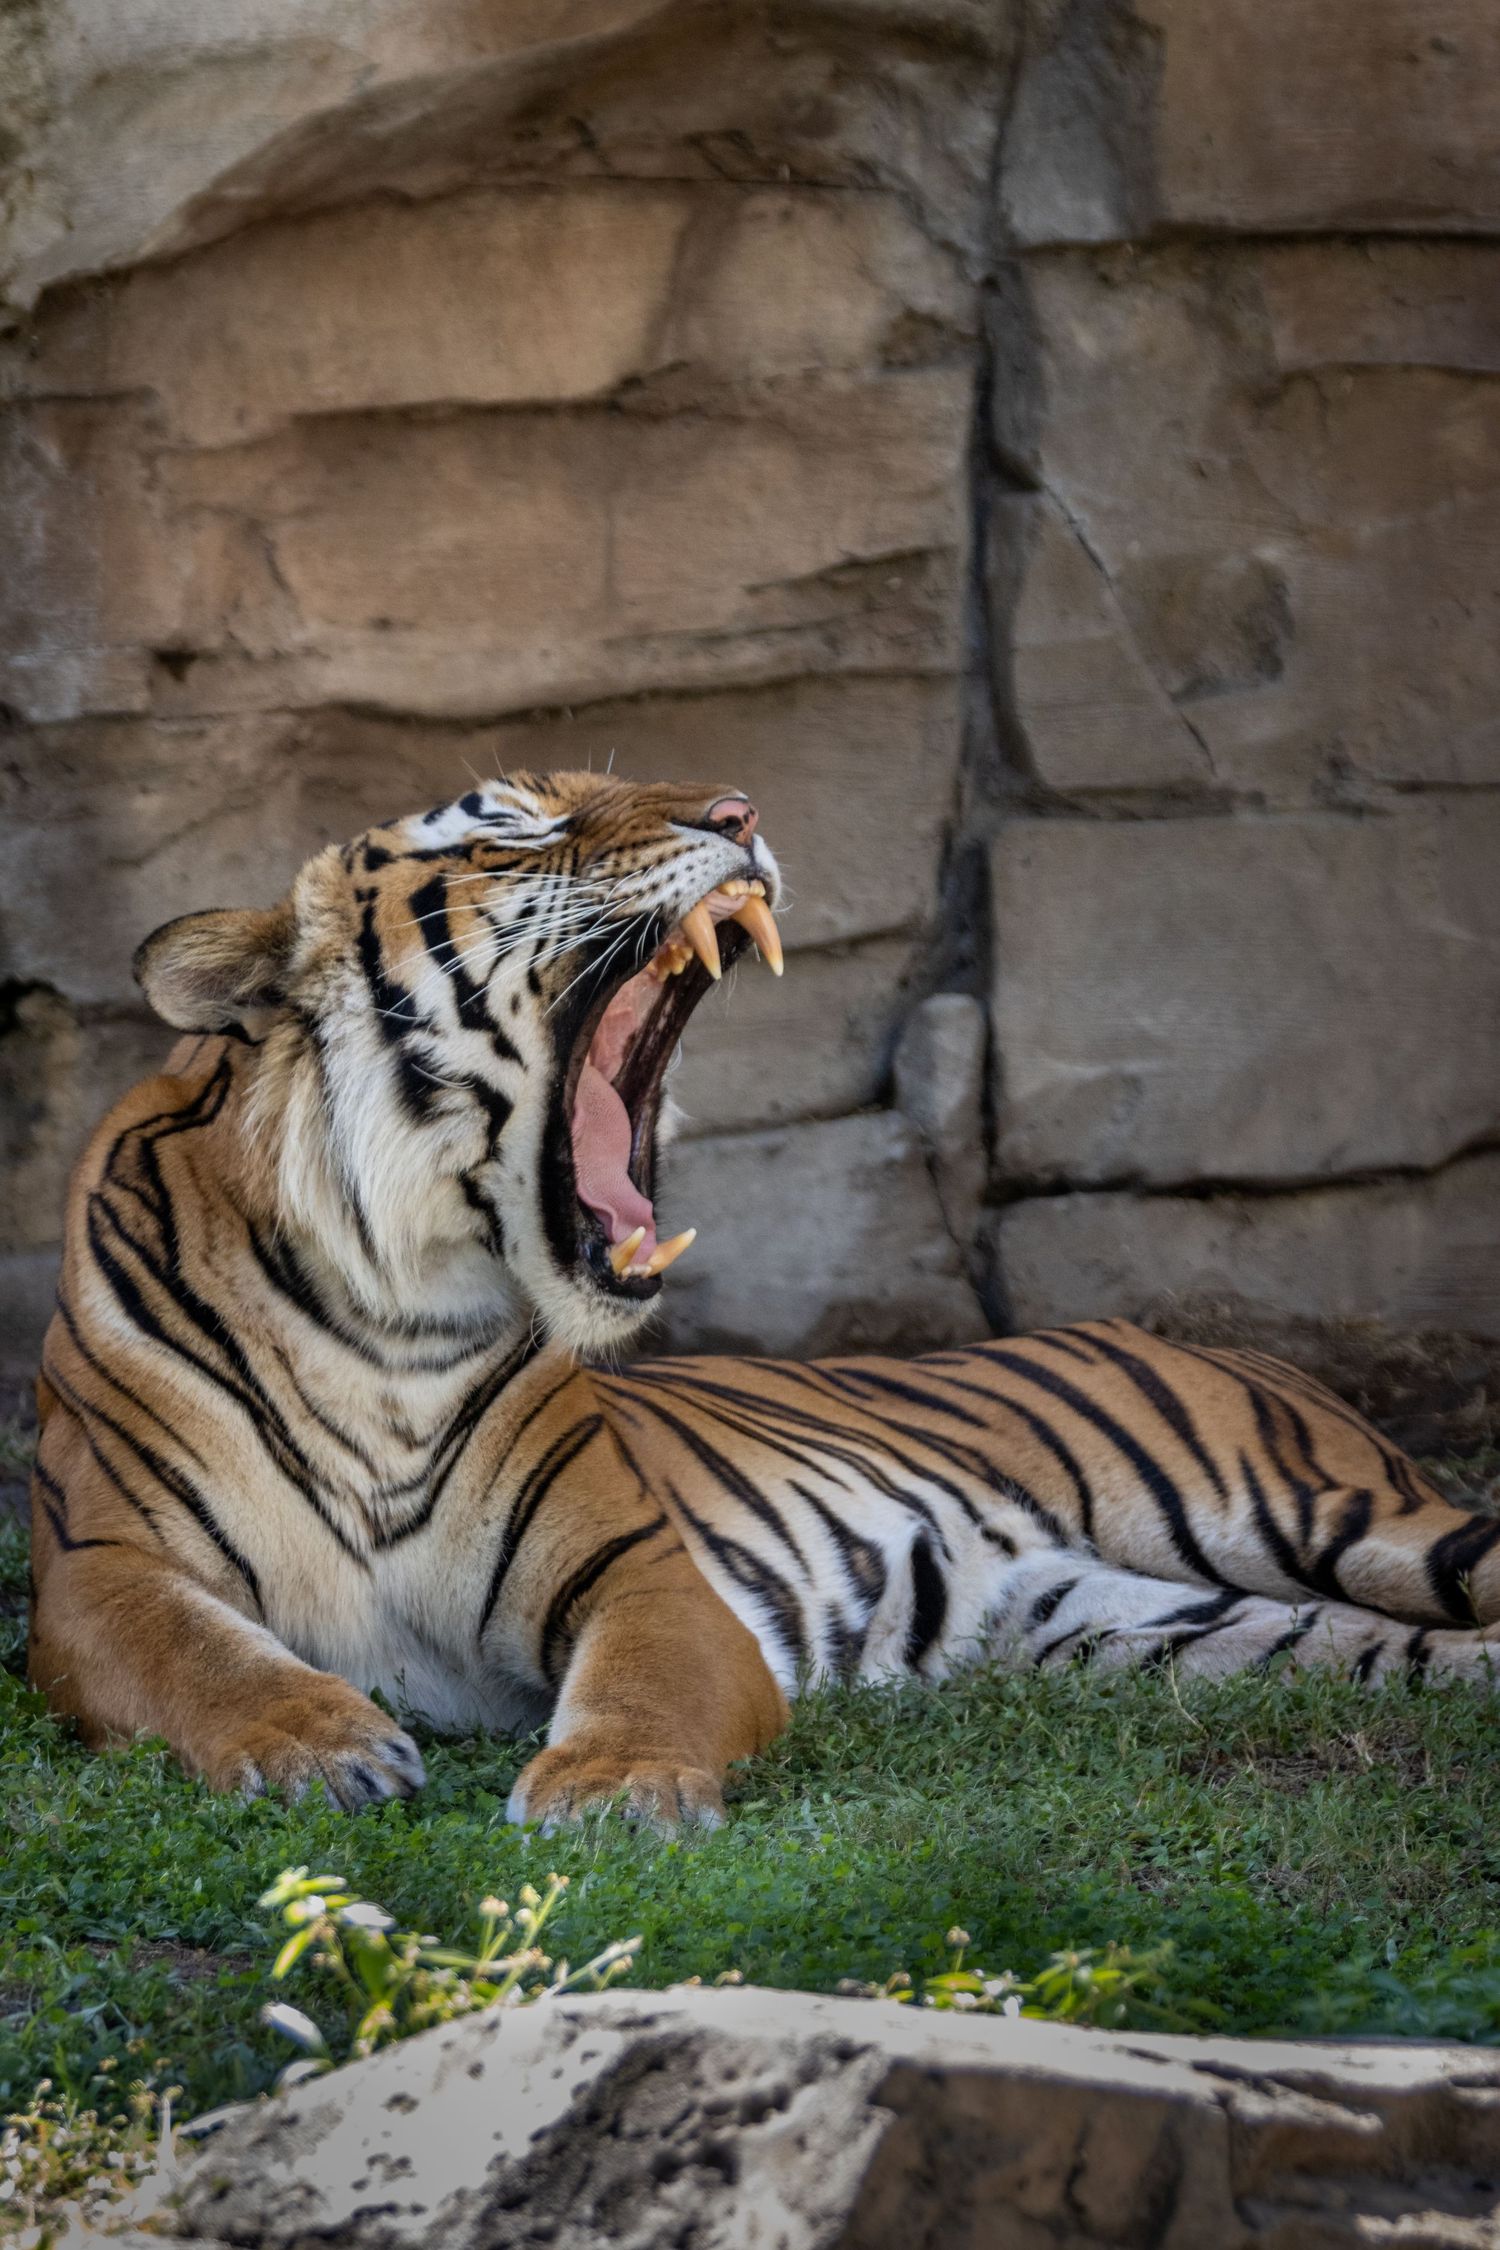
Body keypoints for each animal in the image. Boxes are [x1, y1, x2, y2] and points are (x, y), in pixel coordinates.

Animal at [26, 772, 1500, 1828]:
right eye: (509, 832)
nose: (737, 812)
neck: (393, 1319)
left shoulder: (643, 1567)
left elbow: (640, 1684)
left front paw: (612, 1792)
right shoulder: (97, 1570)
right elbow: (200, 1657)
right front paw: (324, 1748)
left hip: (1325, 1515)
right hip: (1155, 1627)